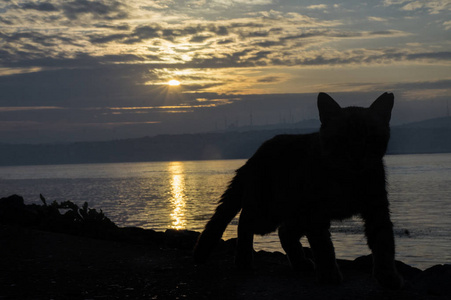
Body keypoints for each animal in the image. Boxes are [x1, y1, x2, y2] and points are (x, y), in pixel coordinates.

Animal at [192, 92, 404, 290]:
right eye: (342, 139)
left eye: (370, 138)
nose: (357, 157)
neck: (349, 179)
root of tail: (255, 155)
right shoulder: (316, 214)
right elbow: (324, 247)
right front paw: (328, 274)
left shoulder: (377, 209)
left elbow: (384, 243)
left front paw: (388, 276)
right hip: (269, 212)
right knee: (245, 221)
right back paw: (244, 260)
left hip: (296, 213)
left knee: (284, 231)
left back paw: (300, 262)